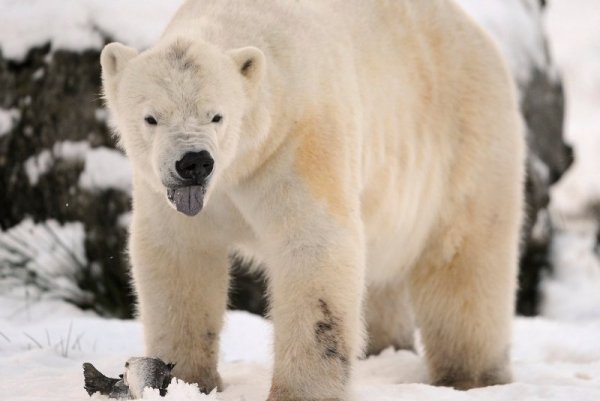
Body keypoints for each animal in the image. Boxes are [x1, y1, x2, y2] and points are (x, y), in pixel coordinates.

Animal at [101, 1, 524, 398]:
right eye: (151, 117)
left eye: (217, 116)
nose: (194, 163)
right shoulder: (167, 191)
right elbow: (179, 254)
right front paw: (182, 380)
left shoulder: (299, 143)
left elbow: (313, 246)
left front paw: (299, 391)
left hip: (465, 139)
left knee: (465, 256)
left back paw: (469, 375)